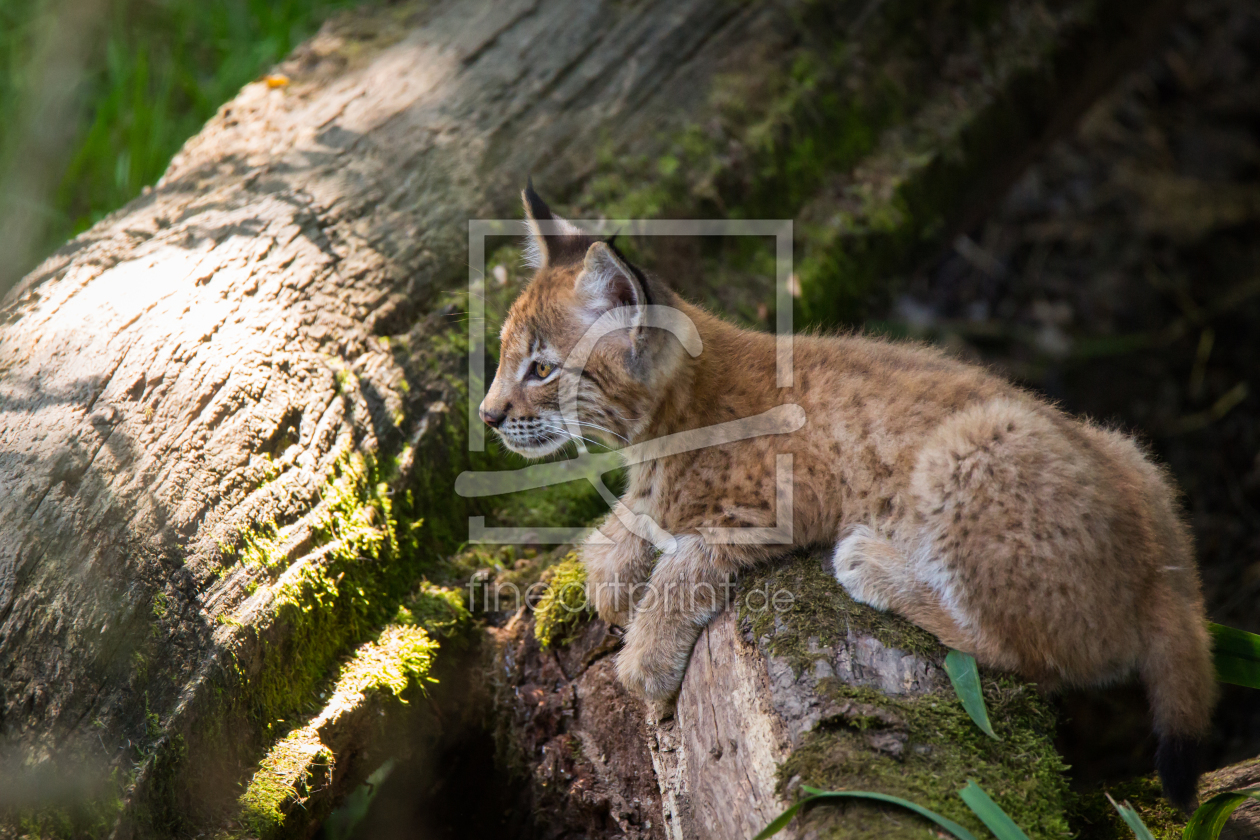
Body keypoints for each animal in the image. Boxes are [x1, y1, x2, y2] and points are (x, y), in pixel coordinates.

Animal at [476, 185, 1214, 805]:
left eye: (540, 369)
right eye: (507, 357)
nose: (486, 415)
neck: (667, 415)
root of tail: (1163, 575)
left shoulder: (776, 503)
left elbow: (685, 562)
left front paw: (645, 662)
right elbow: (624, 532)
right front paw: (614, 574)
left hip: (969, 443)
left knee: (1034, 654)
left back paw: (876, 566)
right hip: (1128, 450)